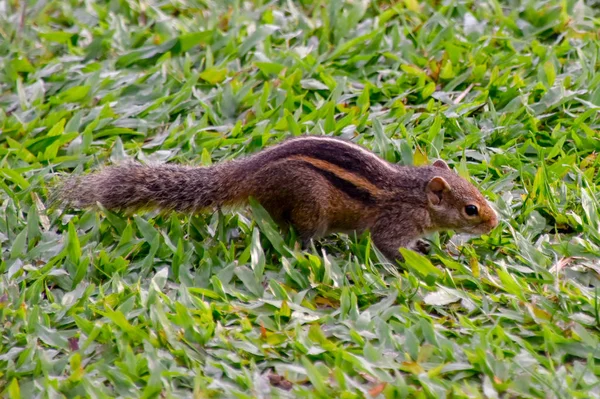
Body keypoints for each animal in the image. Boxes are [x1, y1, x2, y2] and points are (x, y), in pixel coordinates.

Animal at [55, 136, 496, 264]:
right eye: (471, 209)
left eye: (481, 197)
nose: (494, 223)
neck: (413, 192)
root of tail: (246, 172)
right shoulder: (392, 223)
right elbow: (389, 246)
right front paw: (420, 258)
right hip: (309, 205)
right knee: (298, 233)